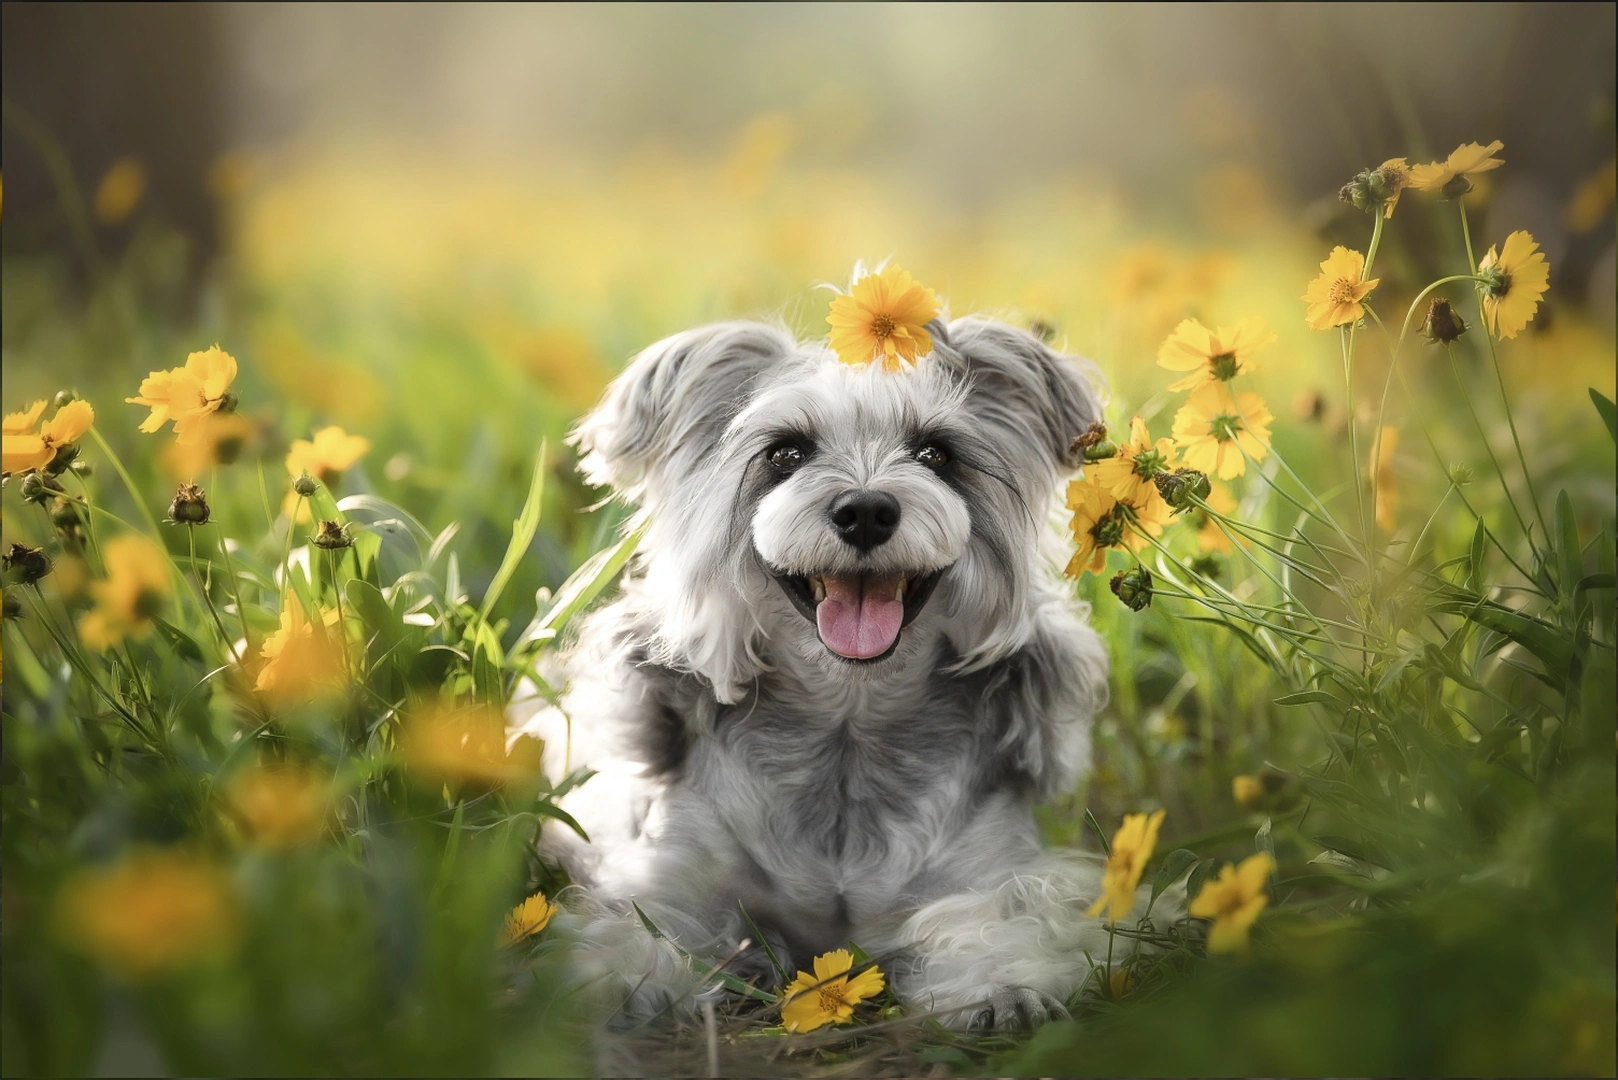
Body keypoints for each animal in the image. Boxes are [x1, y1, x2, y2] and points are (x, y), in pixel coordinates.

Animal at [508, 312, 1152, 1029]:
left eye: (936, 454)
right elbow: (625, 922)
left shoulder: (993, 867)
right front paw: (607, 979)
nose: (866, 510)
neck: (849, 723)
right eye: (785, 454)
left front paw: (1003, 984)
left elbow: (1015, 916)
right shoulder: (670, 872)